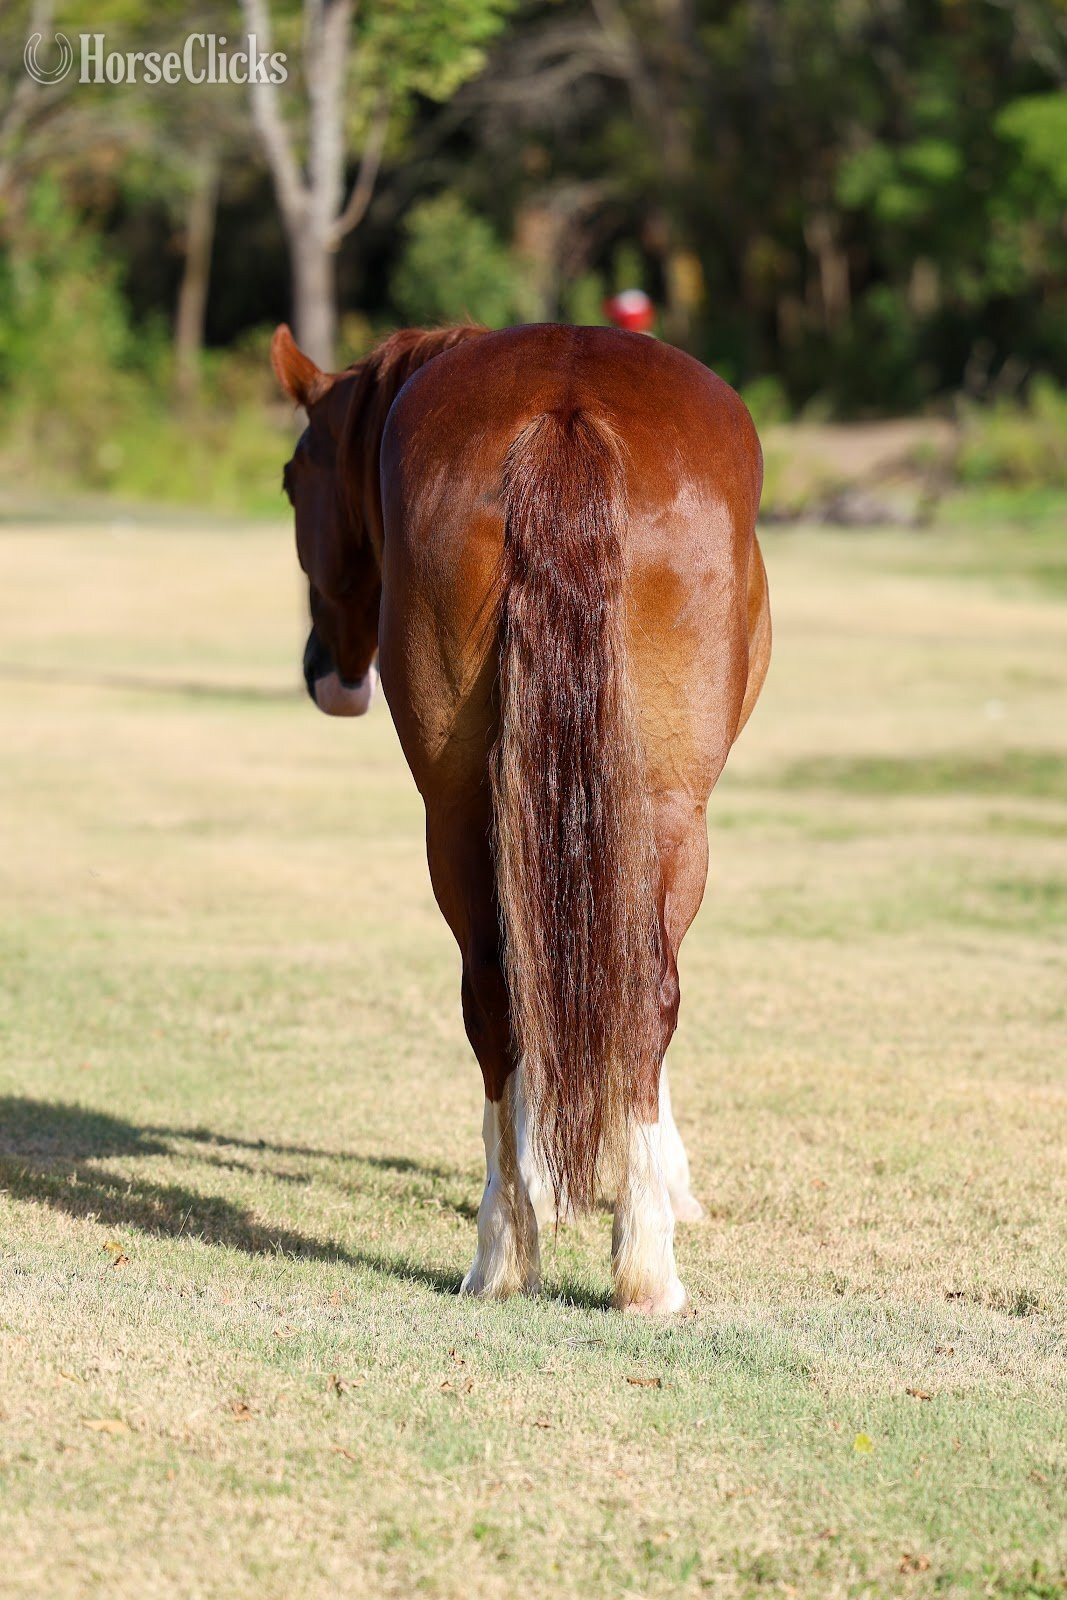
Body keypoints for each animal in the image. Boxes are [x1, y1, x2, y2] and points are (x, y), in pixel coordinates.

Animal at [271, 320, 770, 1312]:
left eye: (289, 478)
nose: (324, 673)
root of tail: (561, 411)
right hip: (663, 811)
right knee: (637, 994)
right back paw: (623, 1260)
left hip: (463, 813)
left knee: (502, 995)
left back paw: (515, 1251)